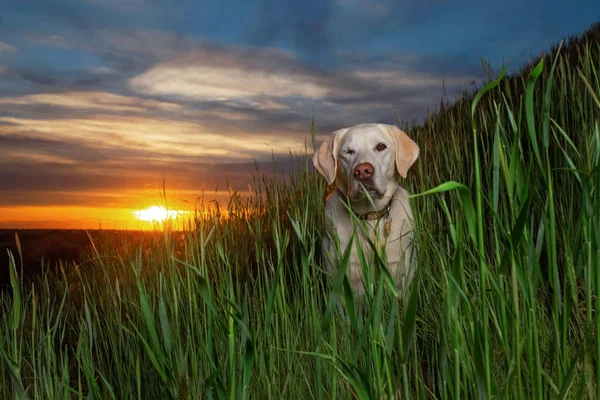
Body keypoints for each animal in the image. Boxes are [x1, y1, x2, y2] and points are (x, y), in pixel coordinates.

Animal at [314, 123, 418, 298]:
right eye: (348, 151)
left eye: (381, 146)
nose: (363, 171)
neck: (369, 216)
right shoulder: (342, 283)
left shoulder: (399, 279)